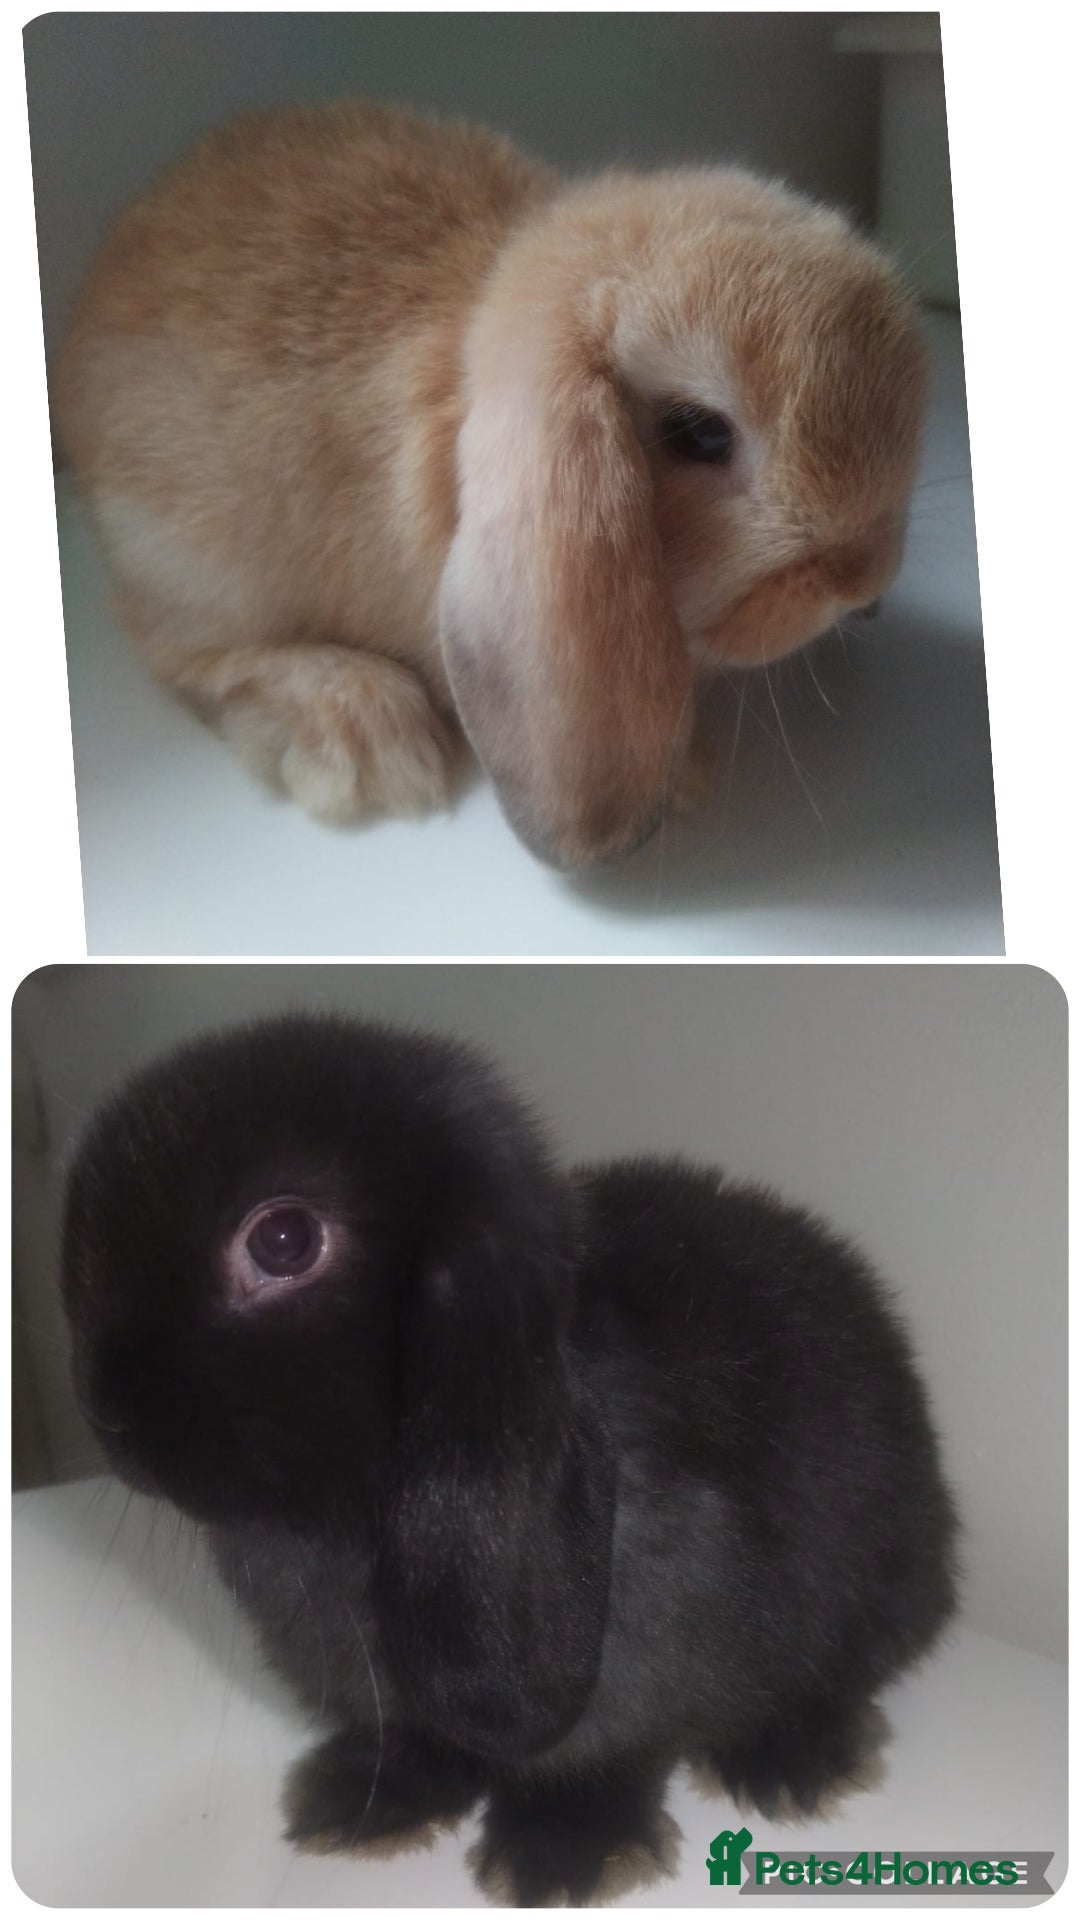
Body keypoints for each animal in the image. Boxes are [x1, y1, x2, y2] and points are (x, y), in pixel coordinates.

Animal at [54, 100, 928, 868]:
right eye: (699, 432)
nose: (865, 577)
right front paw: (685, 779)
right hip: (195, 562)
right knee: (181, 651)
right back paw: (363, 734)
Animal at [61, 1012, 958, 1906]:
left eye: (283, 1241)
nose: (107, 1414)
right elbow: (418, 1743)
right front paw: (359, 1806)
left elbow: (603, 1757)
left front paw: (563, 1858)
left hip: (874, 1586)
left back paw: (791, 1765)